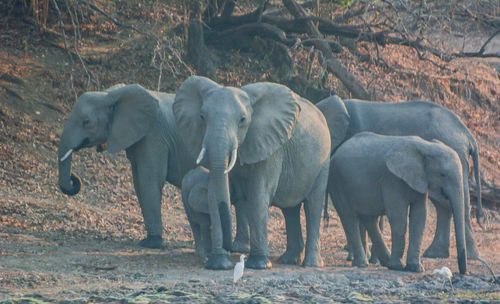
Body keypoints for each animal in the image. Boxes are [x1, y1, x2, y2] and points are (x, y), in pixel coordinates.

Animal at [57, 82, 205, 247]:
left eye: (86, 122)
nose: (73, 178)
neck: (110, 94)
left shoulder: (154, 135)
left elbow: (149, 181)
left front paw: (152, 243)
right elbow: (138, 184)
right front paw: (148, 240)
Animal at [173, 75, 332, 268]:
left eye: (242, 120)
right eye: (202, 117)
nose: (229, 250)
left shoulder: (271, 146)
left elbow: (258, 194)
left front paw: (258, 264)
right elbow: (214, 192)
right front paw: (218, 264)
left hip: (323, 162)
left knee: (312, 205)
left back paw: (310, 264)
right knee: (290, 210)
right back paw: (289, 260)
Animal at [316, 95, 484, 258]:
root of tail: (468, 135)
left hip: (455, 152)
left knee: (456, 201)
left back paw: (468, 255)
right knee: (444, 203)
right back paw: (436, 254)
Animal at [330, 132, 466, 274]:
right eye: (442, 174)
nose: (462, 272)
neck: (426, 146)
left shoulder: (420, 180)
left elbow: (419, 217)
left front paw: (415, 268)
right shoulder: (392, 179)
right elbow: (398, 217)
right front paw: (397, 267)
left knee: (369, 219)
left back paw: (384, 262)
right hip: (337, 181)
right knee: (349, 218)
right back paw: (363, 264)